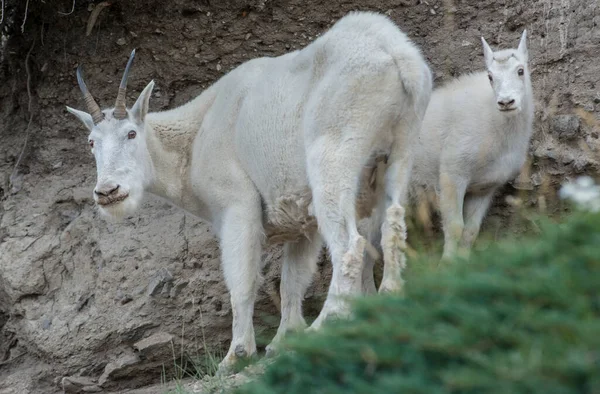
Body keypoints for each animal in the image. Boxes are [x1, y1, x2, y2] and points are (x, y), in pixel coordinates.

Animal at [65, 11, 432, 370]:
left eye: (130, 133)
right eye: (91, 142)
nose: (108, 191)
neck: (195, 137)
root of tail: (399, 57)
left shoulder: (236, 206)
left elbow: (241, 279)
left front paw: (237, 354)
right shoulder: (302, 220)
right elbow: (292, 279)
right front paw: (282, 341)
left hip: (333, 155)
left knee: (349, 244)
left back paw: (326, 322)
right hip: (401, 147)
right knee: (393, 220)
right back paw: (389, 294)